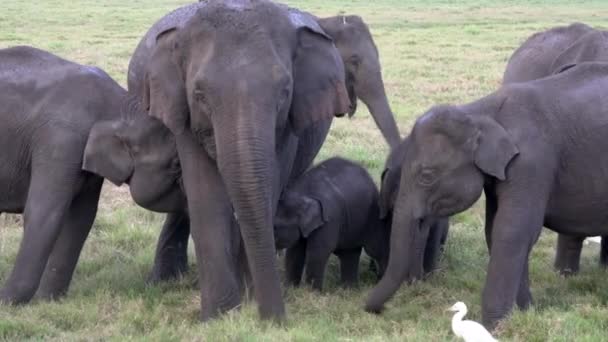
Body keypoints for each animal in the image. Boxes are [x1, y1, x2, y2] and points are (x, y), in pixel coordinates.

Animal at [0, 46, 166, 304]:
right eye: (175, 166)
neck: (120, 104)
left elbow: (81, 217)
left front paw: (49, 301)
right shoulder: (60, 140)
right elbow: (45, 212)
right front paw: (7, 302)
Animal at [274, 156, 388, 290]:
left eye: (275, 227)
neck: (303, 193)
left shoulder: (329, 220)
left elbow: (317, 253)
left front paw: (312, 292)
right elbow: (294, 252)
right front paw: (290, 288)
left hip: (372, 215)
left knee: (375, 249)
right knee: (350, 253)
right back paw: (349, 290)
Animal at [364, 61, 608, 328]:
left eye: (426, 176)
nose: (372, 309)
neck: (480, 112)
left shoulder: (532, 164)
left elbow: (513, 230)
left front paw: (494, 326)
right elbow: (493, 229)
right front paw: (523, 313)